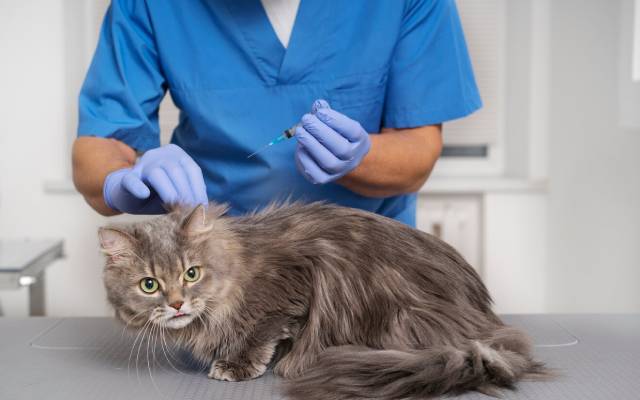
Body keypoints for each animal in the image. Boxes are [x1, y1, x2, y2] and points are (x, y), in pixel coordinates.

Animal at [99, 202, 548, 399]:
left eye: (191, 274)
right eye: (149, 285)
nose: (177, 304)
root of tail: (482, 330)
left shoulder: (291, 286)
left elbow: (261, 332)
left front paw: (237, 365)